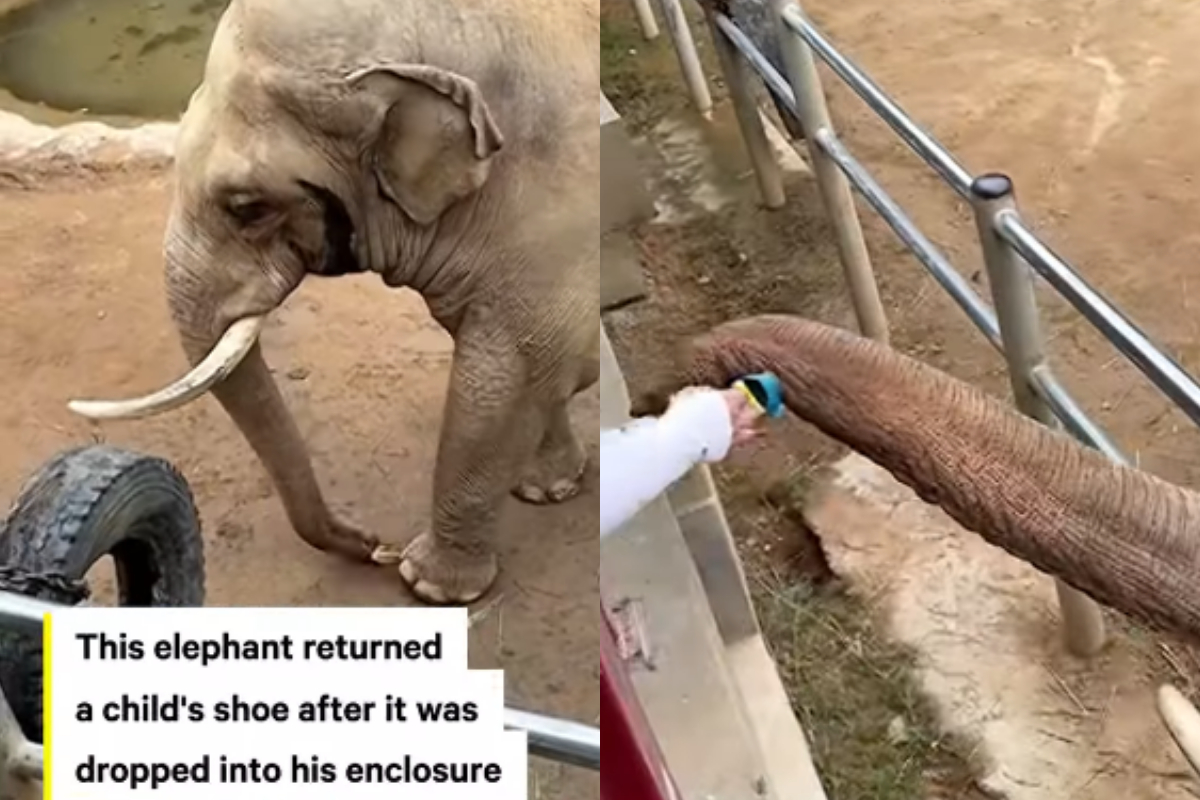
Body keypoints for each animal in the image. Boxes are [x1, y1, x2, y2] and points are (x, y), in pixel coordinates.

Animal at [67, 0, 600, 606]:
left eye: (247, 207)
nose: (373, 545)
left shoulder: (555, 206)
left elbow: (507, 373)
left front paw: (428, 585)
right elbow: (547, 362)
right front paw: (543, 488)